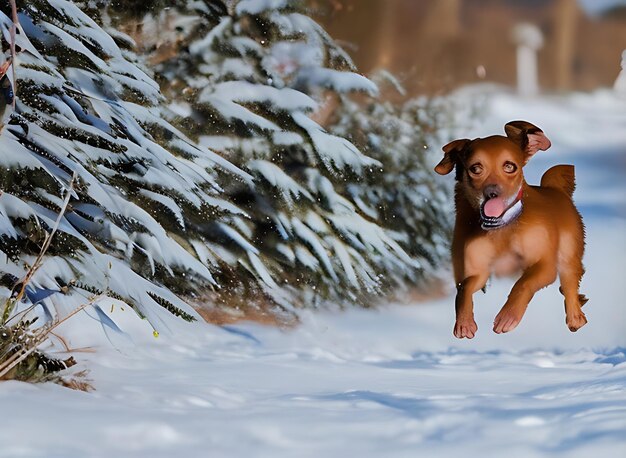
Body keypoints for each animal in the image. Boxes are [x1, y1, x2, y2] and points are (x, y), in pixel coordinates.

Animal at [434, 120, 584, 338]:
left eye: (509, 166)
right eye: (476, 168)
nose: (492, 192)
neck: (501, 227)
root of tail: (555, 190)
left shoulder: (545, 265)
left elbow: (523, 284)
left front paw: (508, 316)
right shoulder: (477, 270)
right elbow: (465, 288)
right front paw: (464, 322)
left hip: (568, 252)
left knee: (570, 282)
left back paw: (575, 317)